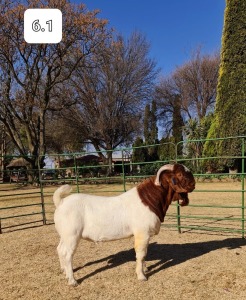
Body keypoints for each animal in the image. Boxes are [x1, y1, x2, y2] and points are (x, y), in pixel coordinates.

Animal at [52, 164, 195, 286]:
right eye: (180, 174)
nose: (193, 184)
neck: (149, 200)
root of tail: (61, 202)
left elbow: (144, 254)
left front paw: (145, 269)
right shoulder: (142, 233)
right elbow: (141, 254)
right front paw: (141, 276)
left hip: (64, 235)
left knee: (60, 249)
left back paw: (64, 271)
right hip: (72, 235)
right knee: (67, 254)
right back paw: (72, 281)